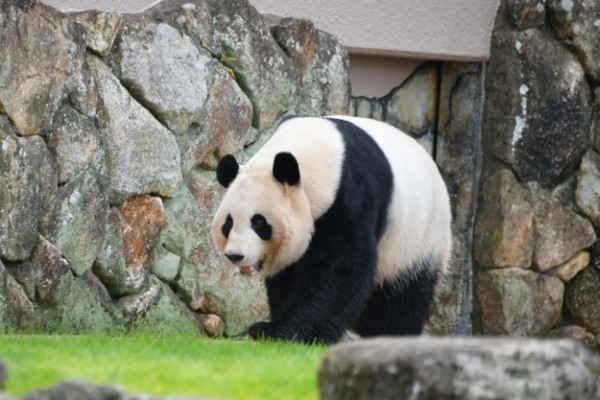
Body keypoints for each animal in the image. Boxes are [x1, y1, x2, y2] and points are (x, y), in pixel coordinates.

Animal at [211, 115, 450, 344]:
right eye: (228, 224)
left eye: (259, 223)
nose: (236, 255)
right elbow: (287, 277)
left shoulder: (350, 197)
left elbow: (339, 270)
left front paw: (285, 332)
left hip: (418, 237)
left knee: (402, 296)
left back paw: (390, 336)